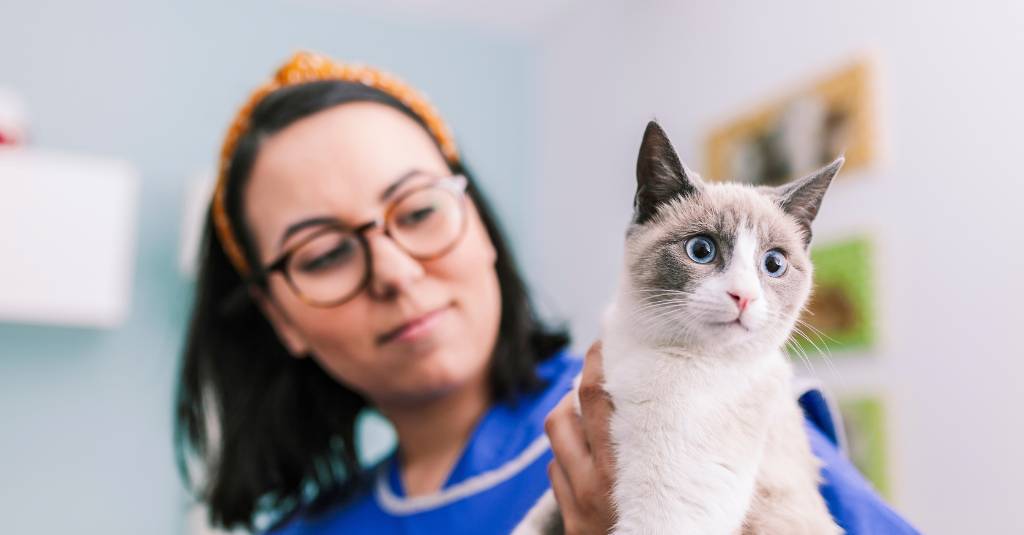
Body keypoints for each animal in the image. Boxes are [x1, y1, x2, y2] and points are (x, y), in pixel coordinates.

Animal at [516, 120, 843, 532]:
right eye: (701, 250)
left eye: (774, 264)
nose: (743, 296)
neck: (649, 348)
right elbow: (533, 519)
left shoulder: (669, 511)